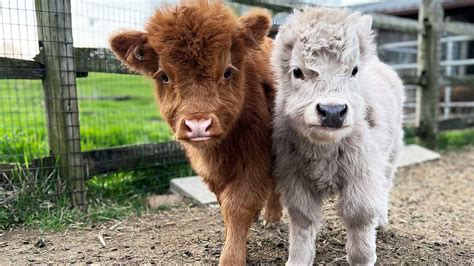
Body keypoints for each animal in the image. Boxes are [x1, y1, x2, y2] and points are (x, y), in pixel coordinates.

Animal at [110, 1, 282, 264]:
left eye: (227, 71)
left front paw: (231, 257)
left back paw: (272, 217)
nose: (198, 125)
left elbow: (237, 205)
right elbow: (225, 204)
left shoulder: (256, 159)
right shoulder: (211, 171)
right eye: (164, 76)